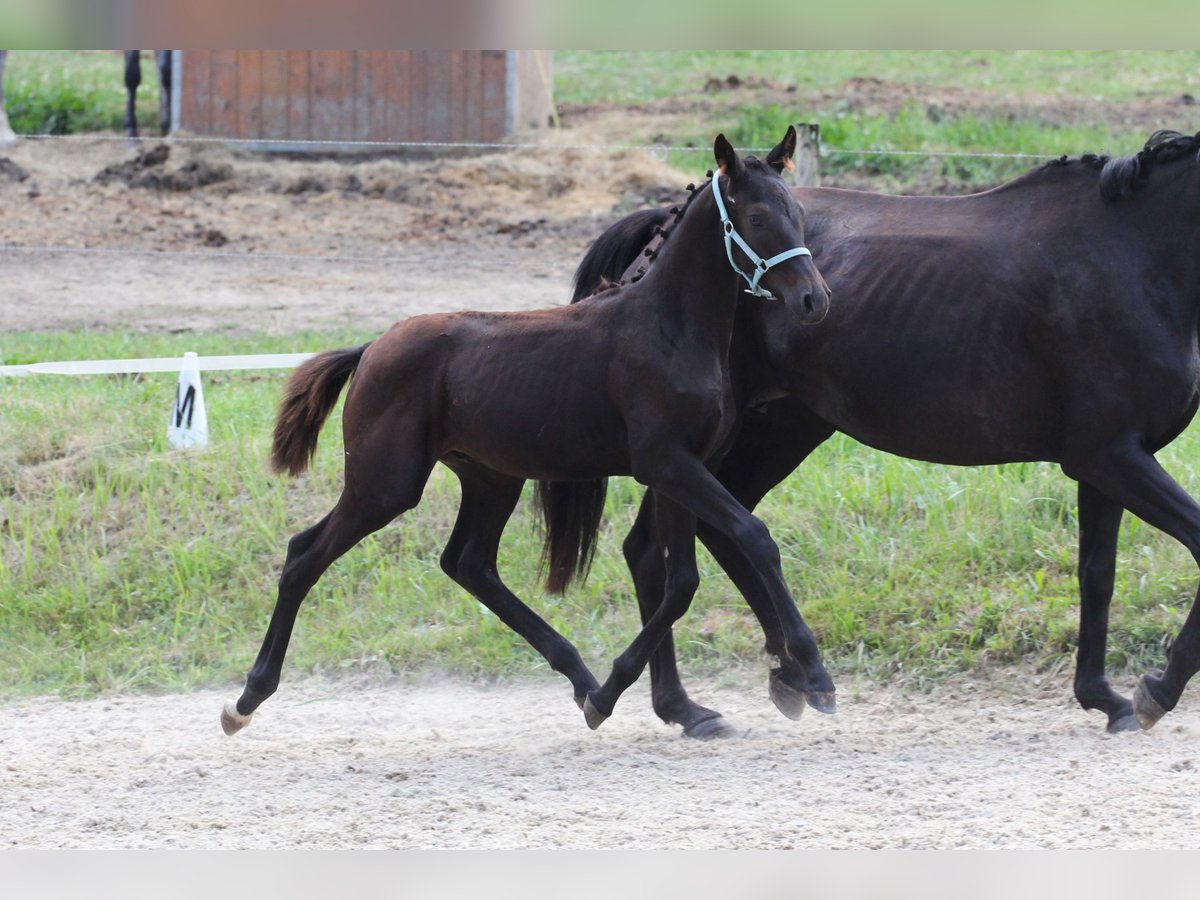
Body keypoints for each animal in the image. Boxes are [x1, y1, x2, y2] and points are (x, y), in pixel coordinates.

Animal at [218, 132, 835, 739]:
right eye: (757, 217)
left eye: (799, 213)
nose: (815, 300)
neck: (669, 328)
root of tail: (371, 349)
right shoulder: (666, 465)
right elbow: (753, 537)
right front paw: (813, 675)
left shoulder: (684, 469)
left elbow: (681, 580)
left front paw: (621, 696)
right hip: (384, 484)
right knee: (305, 556)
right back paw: (245, 700)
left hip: (489, 478)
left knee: (468, 564)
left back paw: (583, 680)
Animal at [566, 130, 1200, 734]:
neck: (1132, 256)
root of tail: (664, 235)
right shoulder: (1111, 456)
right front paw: (1157, 690)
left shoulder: (1106, 462)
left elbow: (1097, 576)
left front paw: (1105, 697)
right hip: (703, 445)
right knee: (662, 550)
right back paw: (693, 702)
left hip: (777, 430)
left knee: (701, 538)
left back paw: (770, 682)